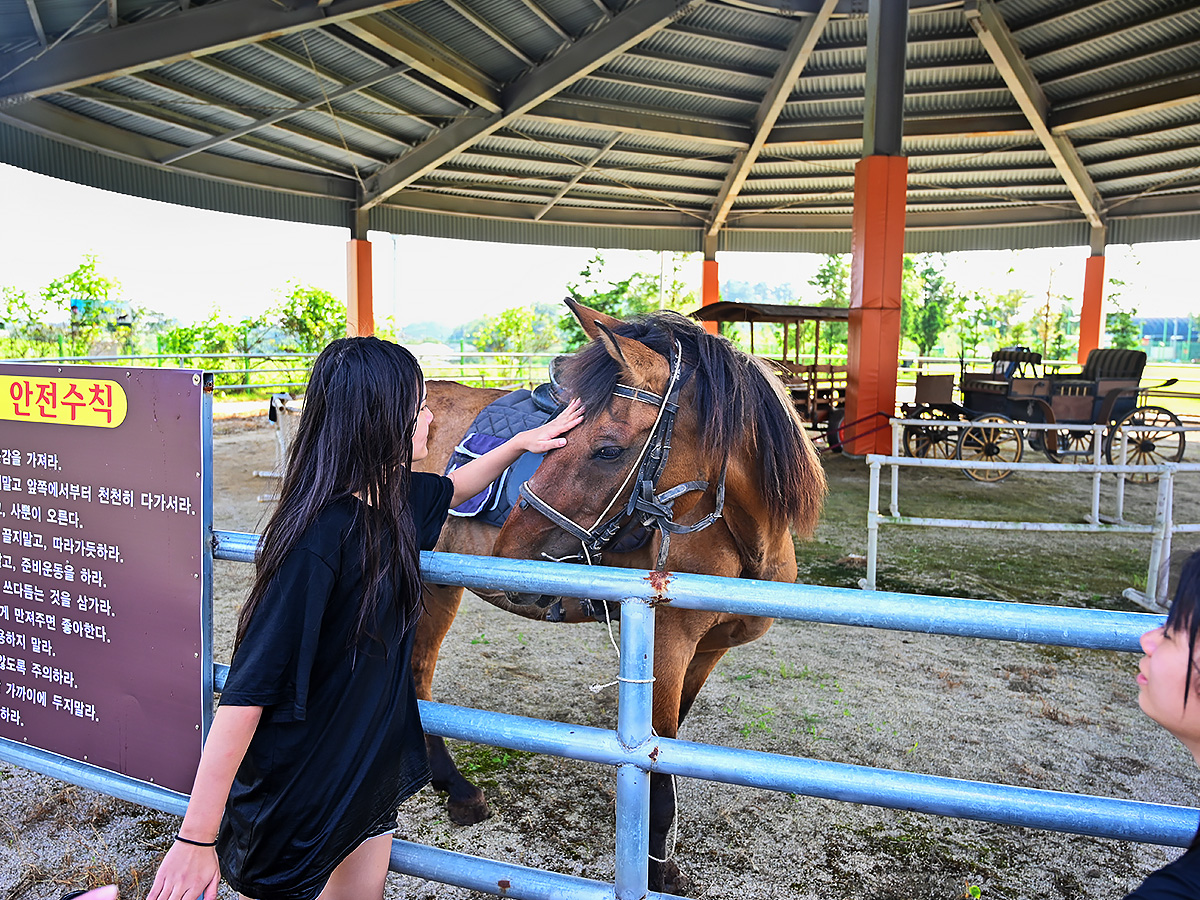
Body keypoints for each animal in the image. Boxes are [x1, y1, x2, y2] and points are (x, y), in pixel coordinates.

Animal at [412, 303, 825, 897]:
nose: (510, 555)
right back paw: (459, 789)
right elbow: (659, 749)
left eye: (608, 449)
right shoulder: (668, 645)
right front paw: (656, 866)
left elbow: (670, 745)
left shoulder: (707, 653)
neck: (741, 537)